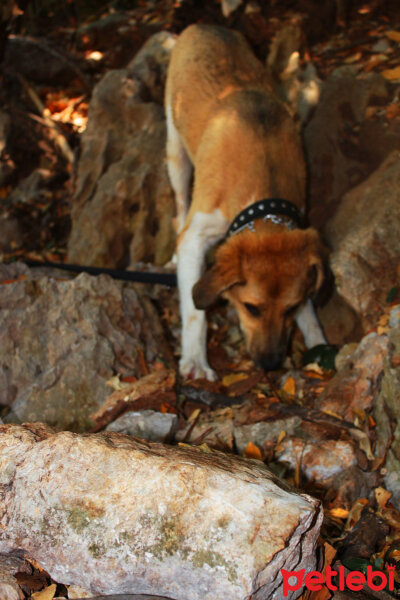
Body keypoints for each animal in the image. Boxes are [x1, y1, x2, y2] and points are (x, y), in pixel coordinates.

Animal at [165, 25, 324, 380]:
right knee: (179, 208)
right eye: (251, 308)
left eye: (291, 307)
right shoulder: (195, 236)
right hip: (175, 151)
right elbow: (194, 310)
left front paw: (319, 342)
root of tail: (204, 25)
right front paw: (196, 360)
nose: (271, 364)